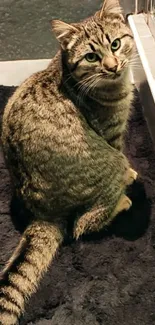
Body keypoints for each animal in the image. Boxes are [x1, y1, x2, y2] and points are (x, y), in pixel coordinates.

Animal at [0, 1, 136, 322]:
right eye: (91, 56)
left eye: (115, 44)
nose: (112, 66)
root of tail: (43, 216)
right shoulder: (112, 135)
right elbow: (125, 156)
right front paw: (132, 176)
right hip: (110, 163)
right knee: (82, 225)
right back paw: (121, 202)